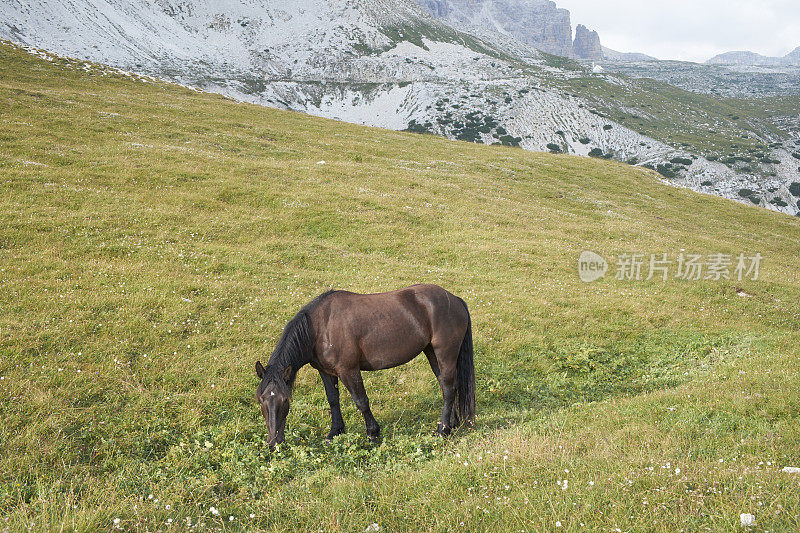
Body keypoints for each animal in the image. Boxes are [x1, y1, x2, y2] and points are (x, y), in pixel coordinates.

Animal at [253, 284, 472, 446]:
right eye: (261, 399)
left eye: (285, 400)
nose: (273, 442)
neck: (320, 327)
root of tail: (455, 299)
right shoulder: (326, 372)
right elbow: (333, 400)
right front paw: (335, 433)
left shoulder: (348, 371)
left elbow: (361, 402)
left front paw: (373, 434)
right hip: (432, 354)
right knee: (448, 387)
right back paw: (451, 425)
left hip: (445, 354)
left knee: (448, 389)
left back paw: (442, 430)